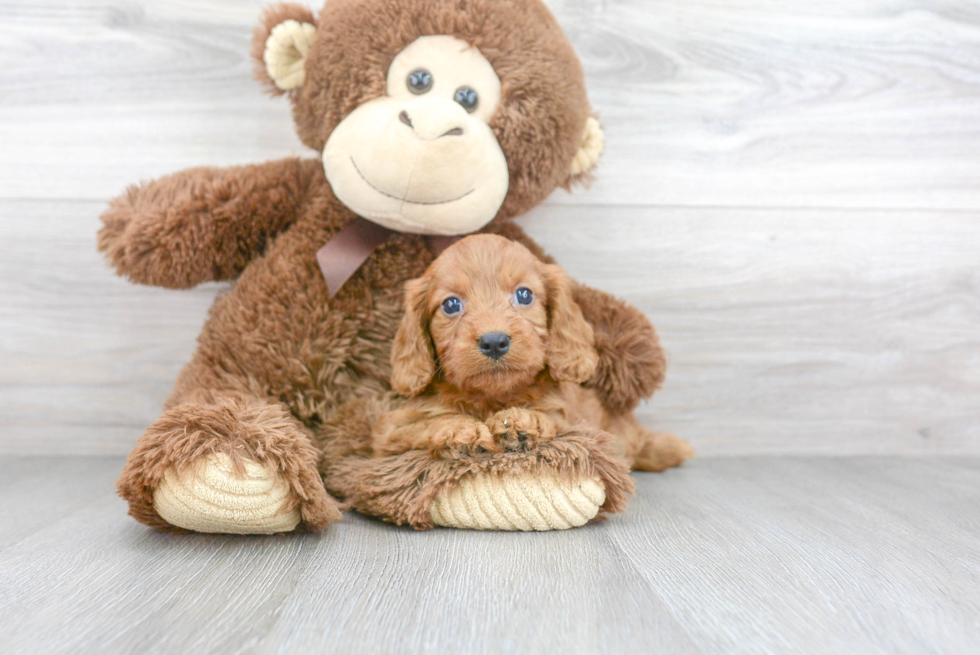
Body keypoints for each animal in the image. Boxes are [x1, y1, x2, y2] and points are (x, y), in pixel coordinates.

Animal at [372, 233, 692, 468]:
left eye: (524, 295)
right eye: (451, 305)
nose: (494, 341)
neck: (491, 398)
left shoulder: (578, 422)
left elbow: (556, 420)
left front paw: (524, 420)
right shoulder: (388, 432)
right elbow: (424, 424)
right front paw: (458, 429)